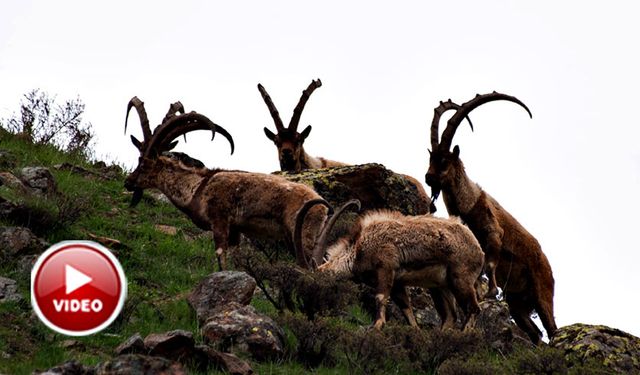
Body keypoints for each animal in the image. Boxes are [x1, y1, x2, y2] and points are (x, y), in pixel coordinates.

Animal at [126, 97, 336, 270]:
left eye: (143, 163)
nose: (128, 182)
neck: (197, 187)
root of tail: (323, 206)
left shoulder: (220, 221)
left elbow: (221, 258)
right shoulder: (235, 231)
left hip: (302, 234)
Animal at [296, 201, 484, 330]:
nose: (308, 302)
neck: (359, 250)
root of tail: (478, 249)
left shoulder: (385, 268)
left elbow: (380, 298)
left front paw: (376, 326)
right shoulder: (398, 284)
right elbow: (406, 309)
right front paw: (416, 331)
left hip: (460, 279)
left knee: (474, 309)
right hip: (439, 287)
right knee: (450, 315)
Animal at [424, 92, 556, 346]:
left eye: (444, 160)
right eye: (430, 159)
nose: (428, 178)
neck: (469, 203)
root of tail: (548, 266)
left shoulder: (493, 232)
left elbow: (491, 261)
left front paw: (491, 292)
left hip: (543, 294)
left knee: (551, 327)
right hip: (518, 303)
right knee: (534, 331)